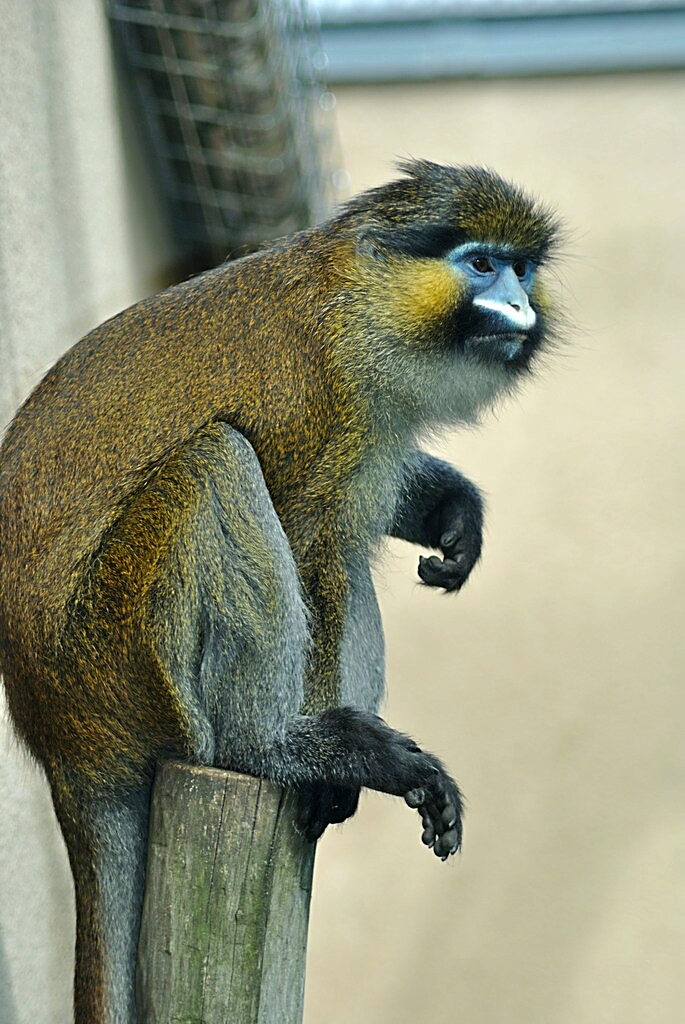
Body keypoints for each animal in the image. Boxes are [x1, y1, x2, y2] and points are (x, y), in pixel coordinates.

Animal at [0, 160, 561, 1024]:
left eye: (523, 268)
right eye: (480, 264)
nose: (520, 308)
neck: (351, 303)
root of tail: (60, 738)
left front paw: (451, 509)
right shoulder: (320, 405)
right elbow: (308, 549)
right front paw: (313, 759)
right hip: (115, 664)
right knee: (215, 463)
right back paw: (269, 749)